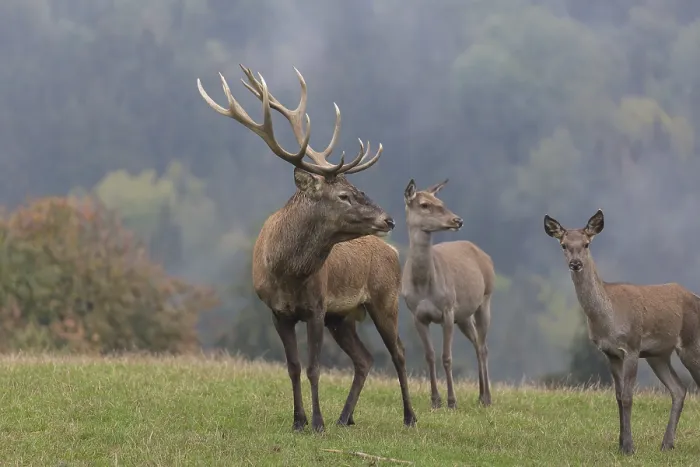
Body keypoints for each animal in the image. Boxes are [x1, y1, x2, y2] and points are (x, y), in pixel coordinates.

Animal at [196, 65, 417, 433]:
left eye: (358, 188)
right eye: (344, 195)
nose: (389, 220)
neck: (287, 272)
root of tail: (395, 253)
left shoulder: (317, 305)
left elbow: (314, 368)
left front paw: (317, 423)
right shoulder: (277, 312)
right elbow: (294, 367)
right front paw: (299, 421)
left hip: (384, 299)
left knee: (398, 352)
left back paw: (409, 417)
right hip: (343, 317)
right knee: (365, 358)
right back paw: (345, 418)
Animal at [401, 179, 494, 410]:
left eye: (441, 202)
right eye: (424, 204)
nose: (457, 220)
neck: (423, 286)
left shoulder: (447, 310)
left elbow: (447, 357)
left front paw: (452, 401)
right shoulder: (417, 315)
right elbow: (429, 356)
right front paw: (435, 400)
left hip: (485, 299)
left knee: (483, 347)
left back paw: (487, 398)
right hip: (464, 315)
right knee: (476, 343)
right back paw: (480, 395)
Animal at [544, 209, 700, 455]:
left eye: (586, 243)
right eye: (563, 245)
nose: (576, 264)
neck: (609, 318)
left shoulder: (632, 346)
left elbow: (627, 396)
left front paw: (629, 447)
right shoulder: (611, 353)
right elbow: (617, 396)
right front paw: (620, 443)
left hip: (691, 343)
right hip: (658, 355)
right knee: (679, 389)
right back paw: (666, 444)